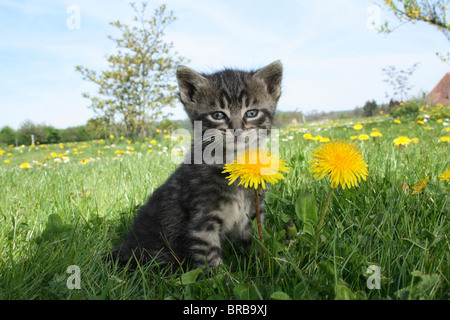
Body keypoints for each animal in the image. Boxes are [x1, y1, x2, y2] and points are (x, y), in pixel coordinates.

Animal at [111, 60, 282, 270]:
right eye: (218, 115)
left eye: (251, 113)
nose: (236, 130)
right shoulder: (201, 220)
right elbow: (209, 257)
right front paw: (218, 278)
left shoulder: (253, 213)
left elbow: (257, 242)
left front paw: (264, 267)